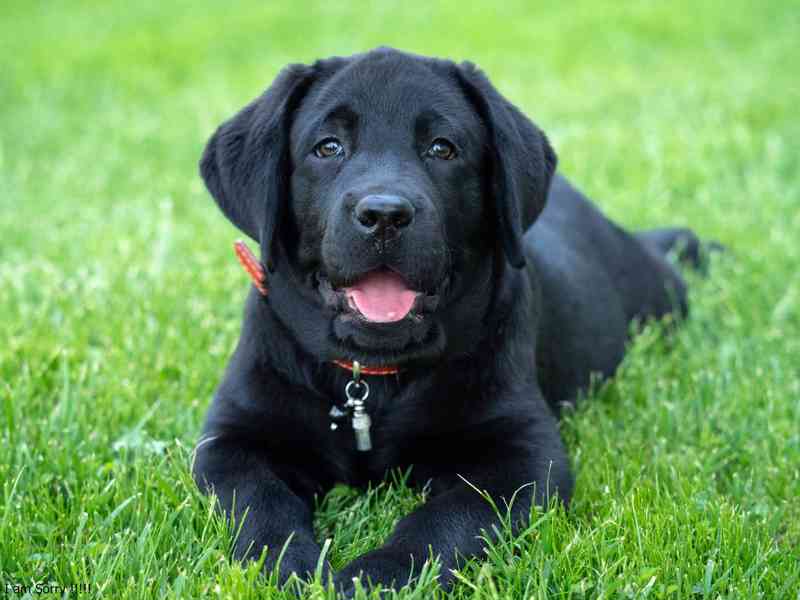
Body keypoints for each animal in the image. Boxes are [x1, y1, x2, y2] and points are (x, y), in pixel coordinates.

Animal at [193, 47, 703, 593]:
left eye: (442, 149)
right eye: (327, 147)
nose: (385, 215)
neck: (370, 384)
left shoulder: (523, 451)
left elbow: (446, 518)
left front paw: (377, 576)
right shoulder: (231, 440)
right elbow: (259, 503)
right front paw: (292, 567)